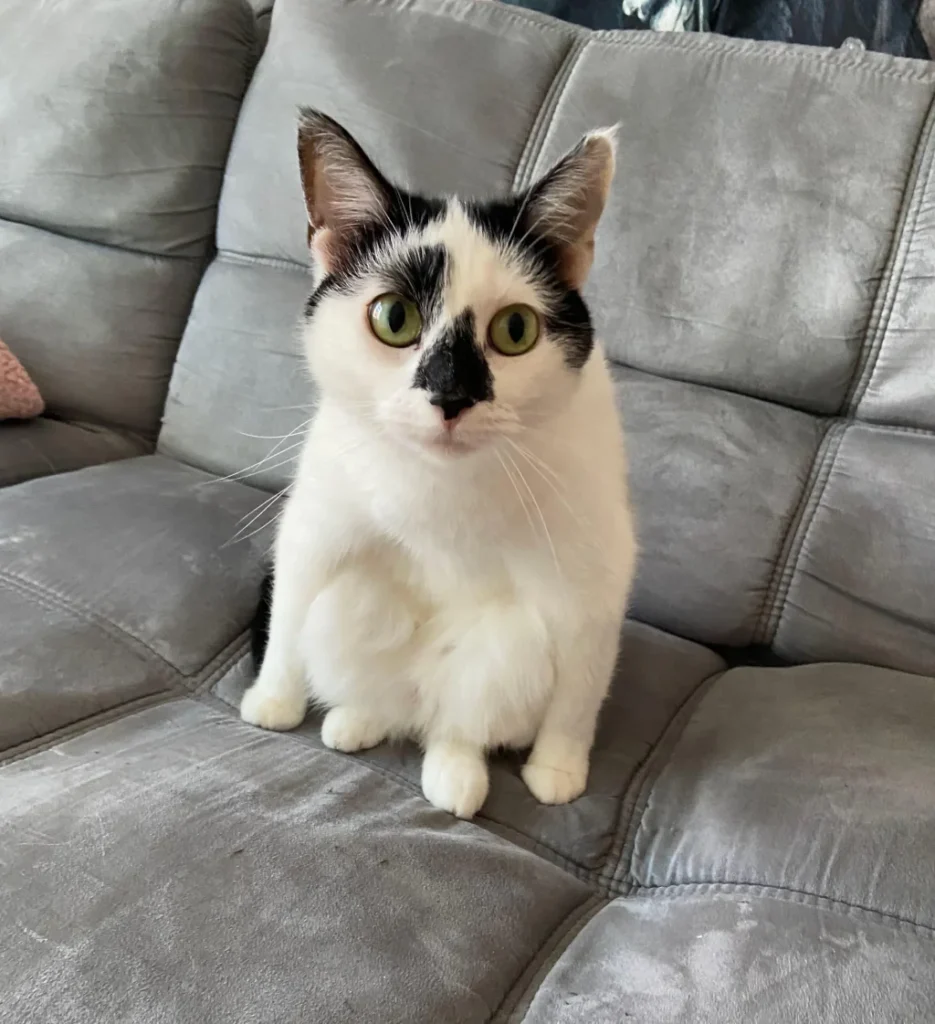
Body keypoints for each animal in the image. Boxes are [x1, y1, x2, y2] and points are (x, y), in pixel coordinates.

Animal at [238, 108, 634, 819]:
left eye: (515, 331)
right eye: (394, 318)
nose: (450, 396)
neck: (442, 490)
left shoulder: (594, 571)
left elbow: (582, 683)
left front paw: (557, 770)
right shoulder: (316, 525)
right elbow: (290, 610)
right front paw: (273, 703)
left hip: (503, 652)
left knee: (458, 718)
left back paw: (454, 771)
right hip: (352, 612)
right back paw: (355, 721)